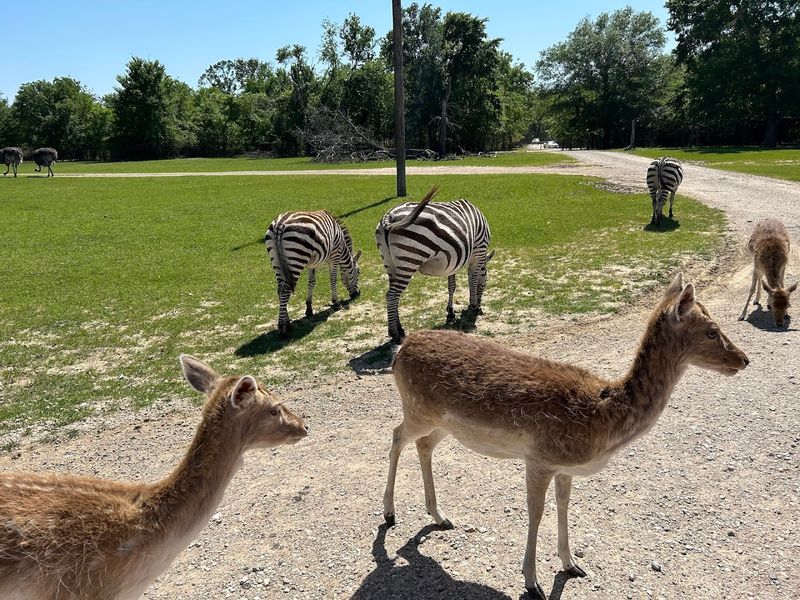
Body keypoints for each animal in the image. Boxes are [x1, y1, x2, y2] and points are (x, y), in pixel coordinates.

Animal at [375, 186, 494, 344]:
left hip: (390, 263)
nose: (480, 308)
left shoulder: (454, 260)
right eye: (486, 281)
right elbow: (474, 280)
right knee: (392, 295)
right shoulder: (479, 251)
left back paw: (397, 328)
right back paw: (396, 335)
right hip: (409, 259)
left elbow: (452, 286)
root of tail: (389, 216)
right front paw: (474, 306)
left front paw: (451, 313)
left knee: (391, 294)